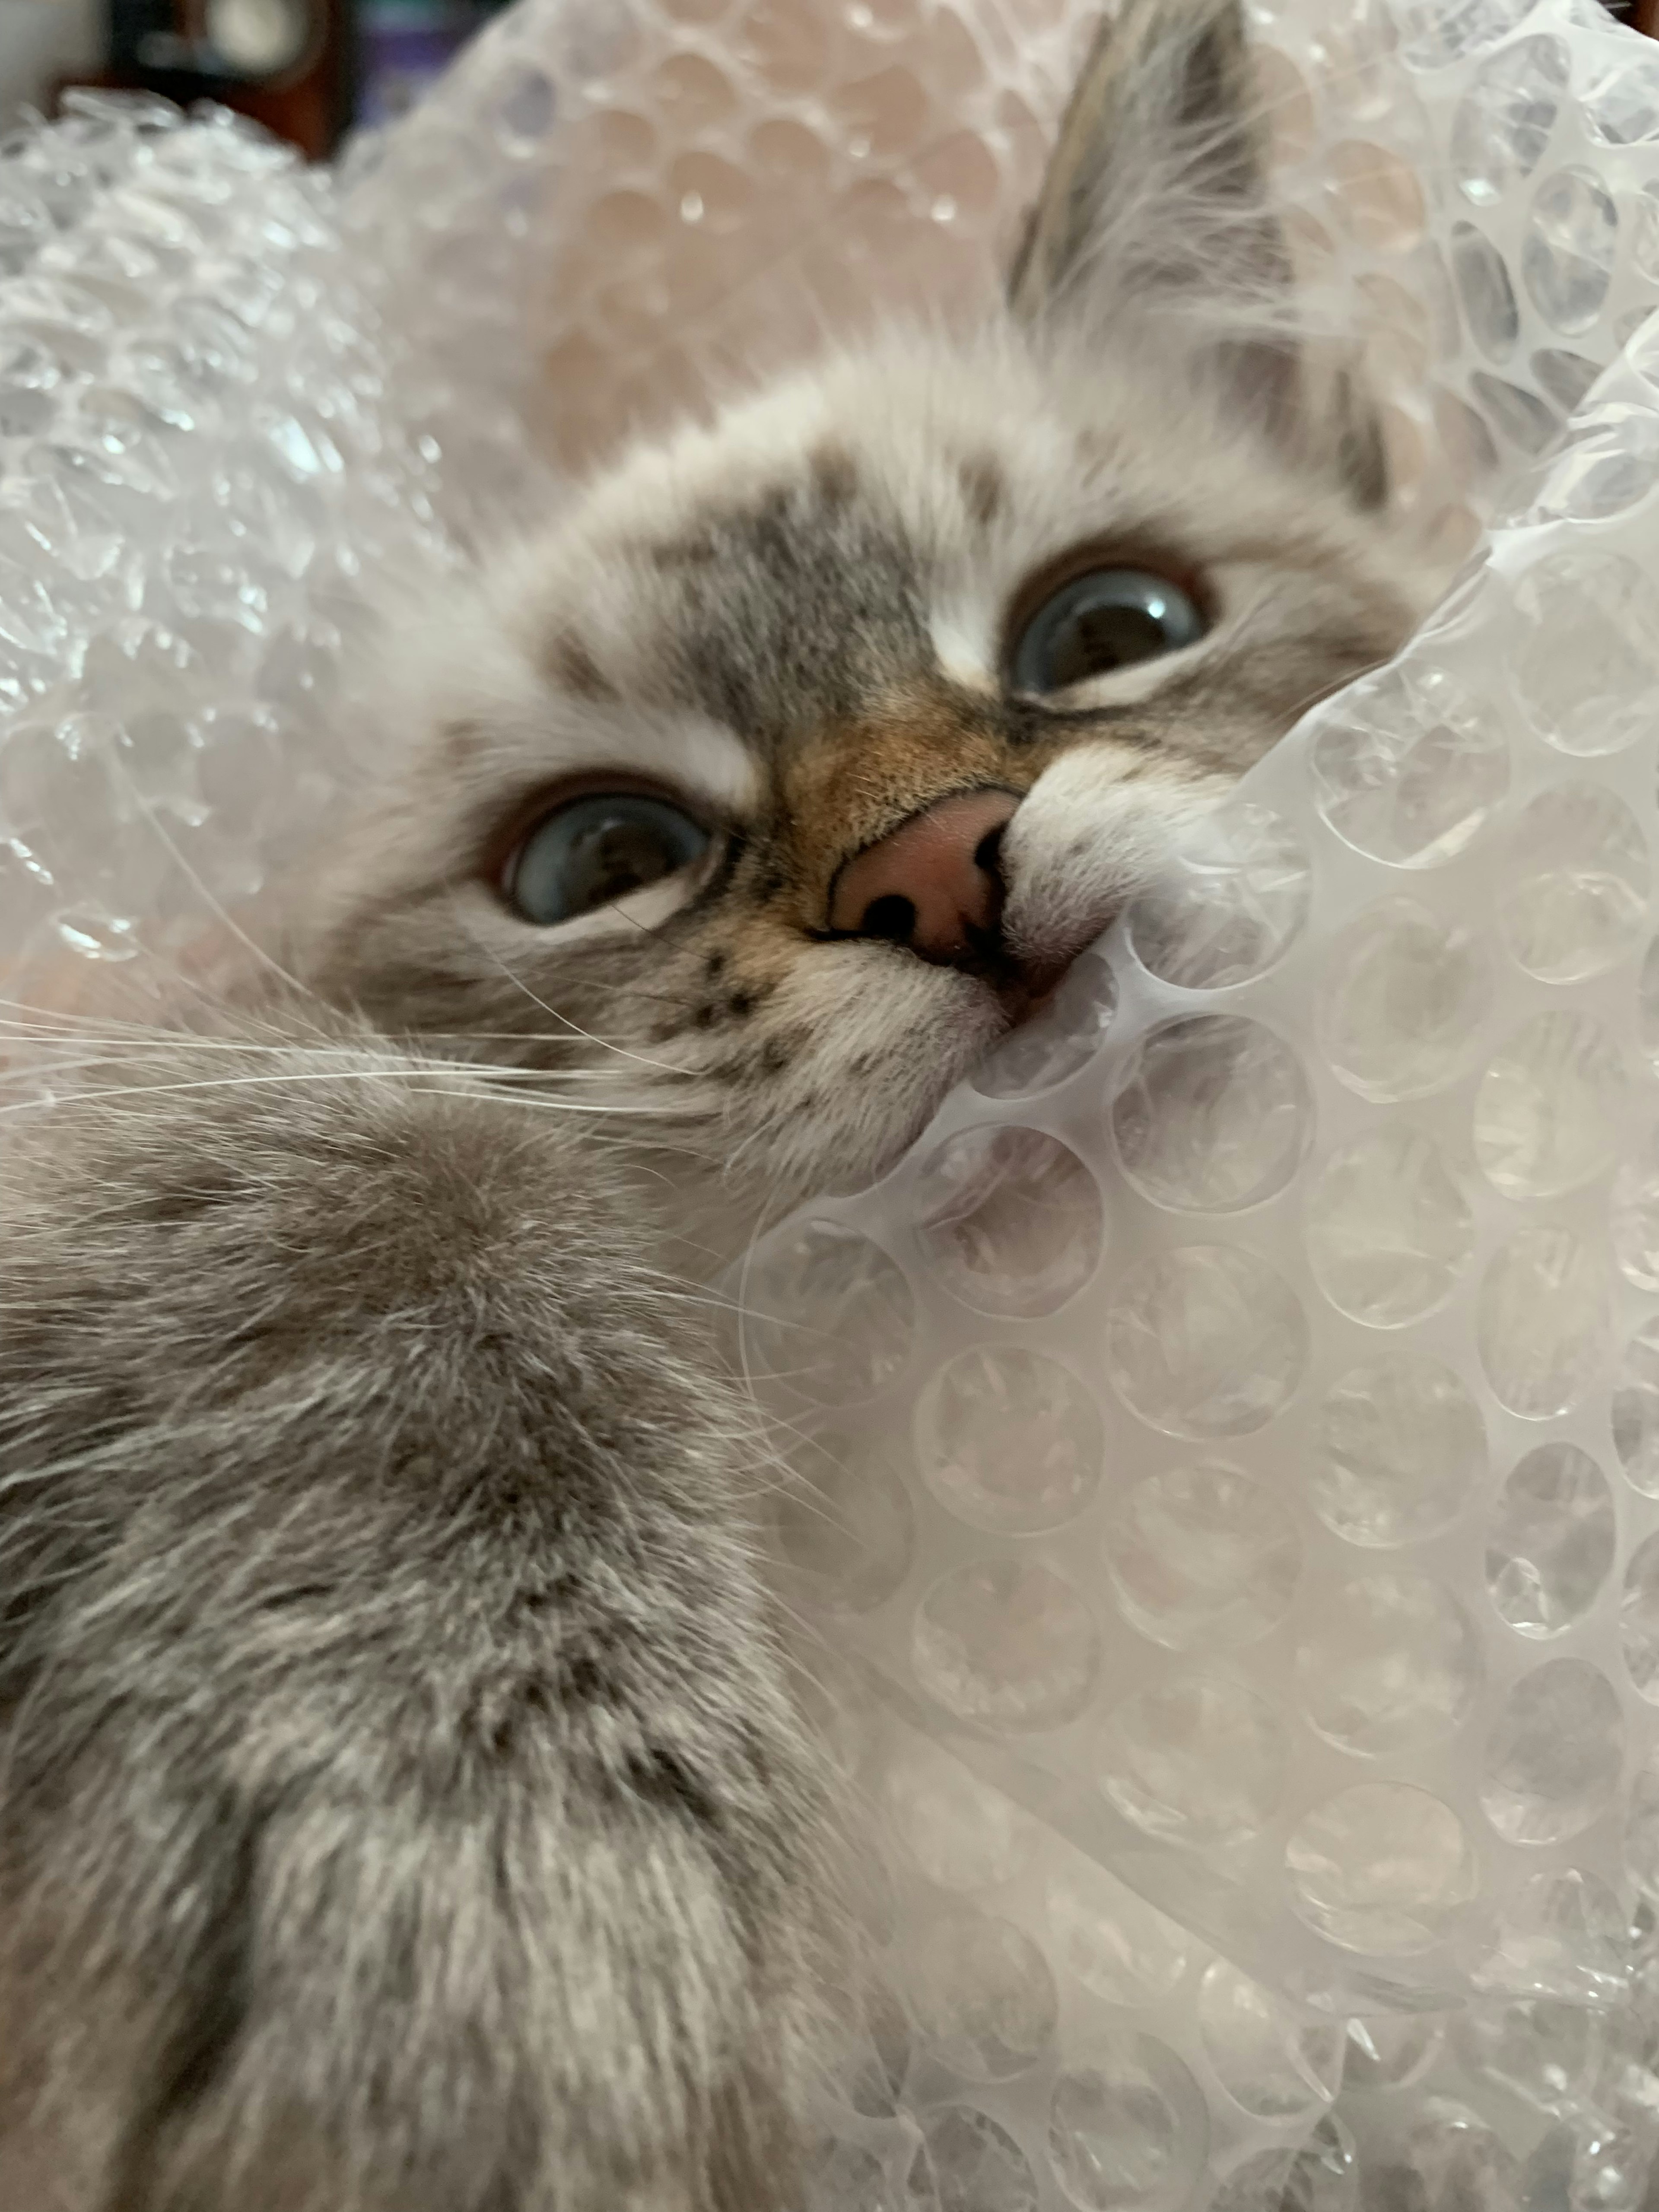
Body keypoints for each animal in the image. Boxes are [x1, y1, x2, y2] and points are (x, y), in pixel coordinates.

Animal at [0, 4, 1433, 2212]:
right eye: (600, 859)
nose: (943, 867)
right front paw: (489, 1978)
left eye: (1113, 631)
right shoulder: (199, 1108)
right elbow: (404, 1189)